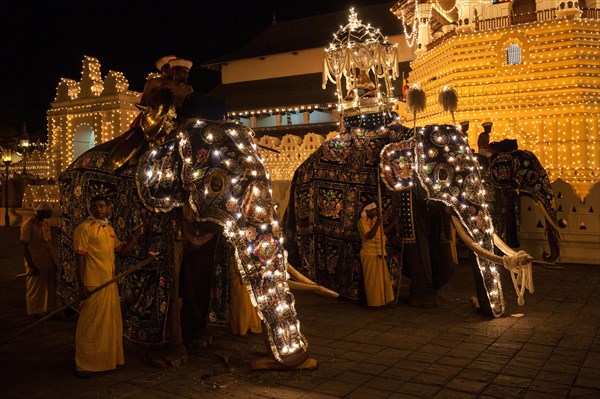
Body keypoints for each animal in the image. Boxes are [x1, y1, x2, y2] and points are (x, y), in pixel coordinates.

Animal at [56, 94, 312, 368]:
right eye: (216, 184)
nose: (299, 354)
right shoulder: (156, 213)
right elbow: (169, 263)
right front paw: (170, 358)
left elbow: (201, 261)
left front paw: (200, 342)